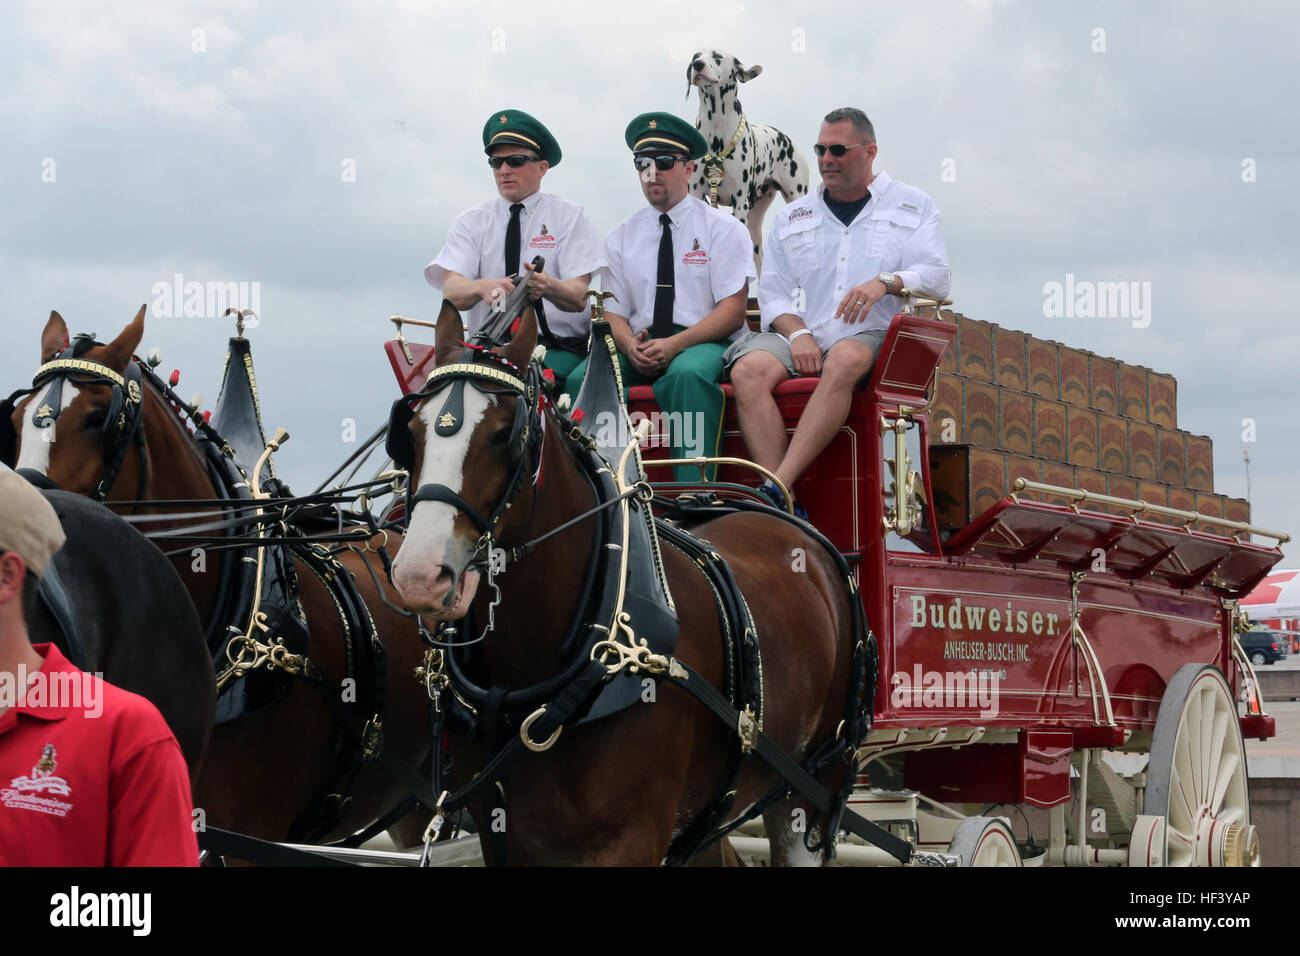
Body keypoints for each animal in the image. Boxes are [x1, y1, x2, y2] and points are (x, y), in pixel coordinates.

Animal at [390, 304, 868, 868]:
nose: (418, 575)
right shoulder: (501, 831)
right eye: (412, 432)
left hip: (811, 789)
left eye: (506, 433)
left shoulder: (634, 837)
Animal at [686, 49, 806, 269]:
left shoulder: (739, 201)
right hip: (755, 230)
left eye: (717, 56)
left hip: (795, 197)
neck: (717, 128)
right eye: (695, 56)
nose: (698, 65)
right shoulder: (696, 194)